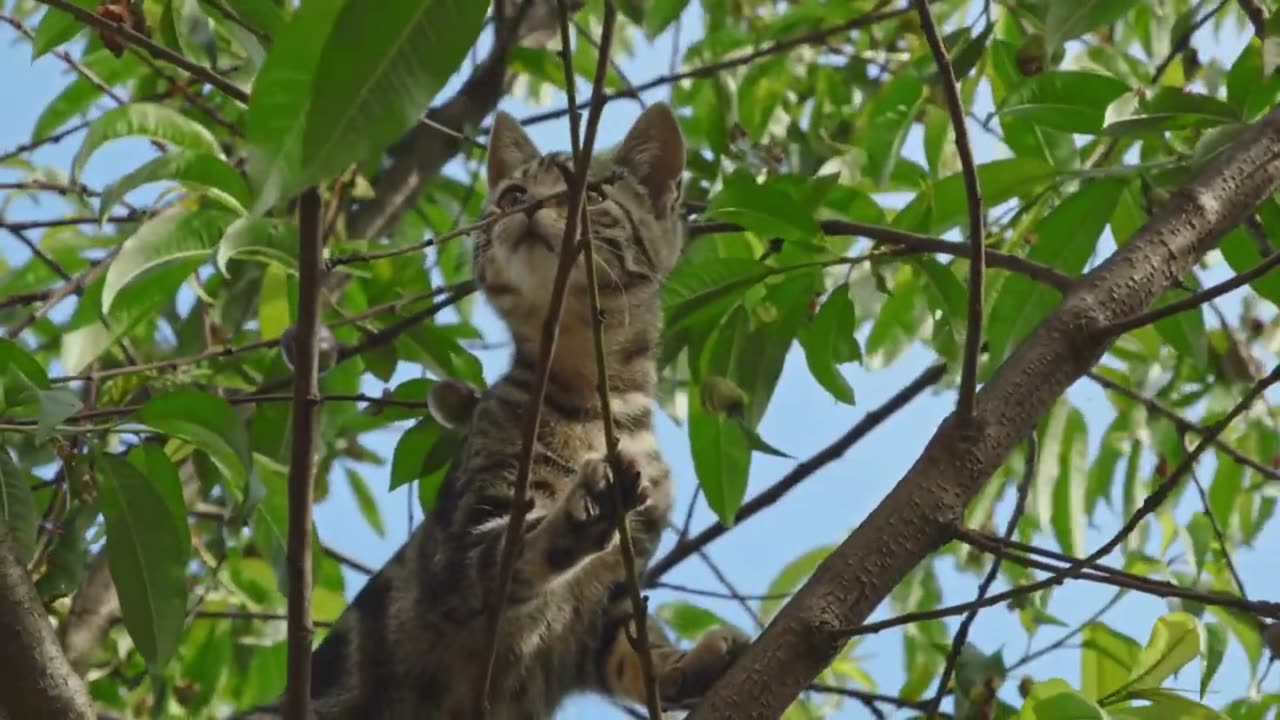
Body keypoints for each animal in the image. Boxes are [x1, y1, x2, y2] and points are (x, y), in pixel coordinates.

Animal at [240, 102, 747, 717]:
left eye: (592, 194)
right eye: (512, 193)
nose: (524, 209)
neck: (592, 396)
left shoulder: (609, 606)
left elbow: (638, 648)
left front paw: (689, 664)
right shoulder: (463, 542)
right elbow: (517, 548)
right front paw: (585, 511)